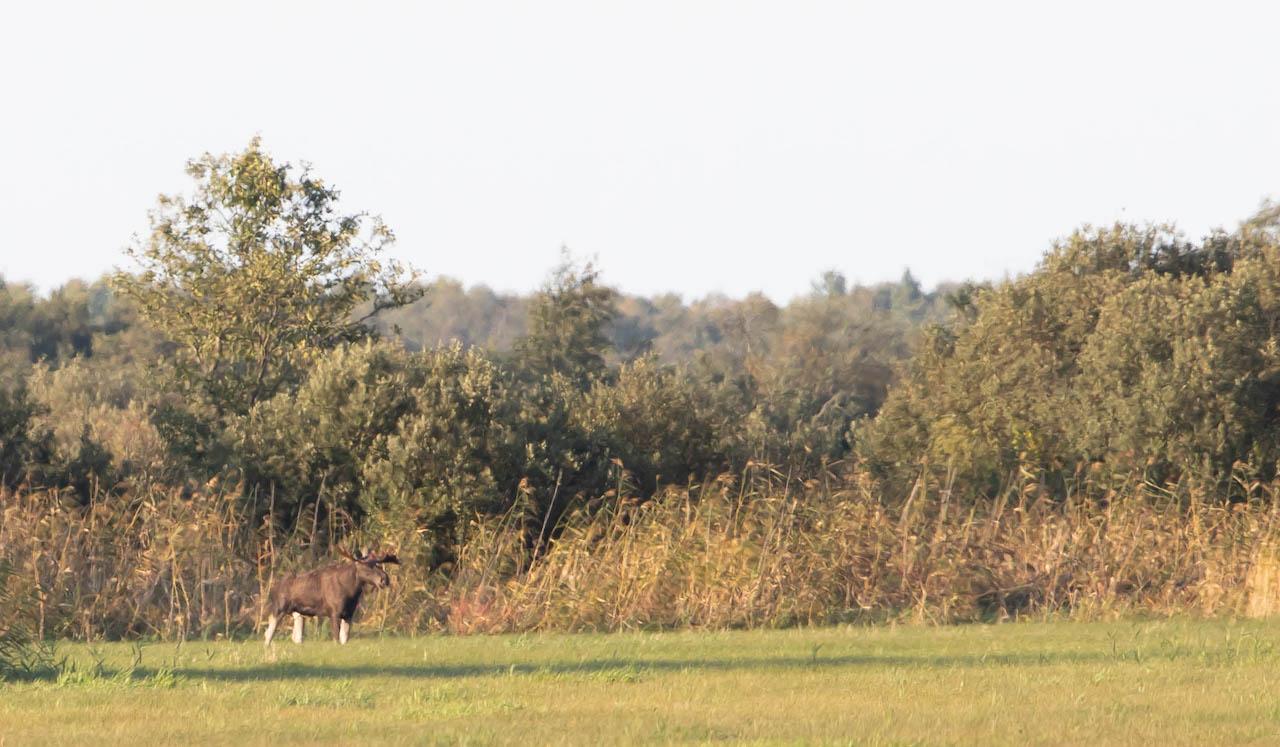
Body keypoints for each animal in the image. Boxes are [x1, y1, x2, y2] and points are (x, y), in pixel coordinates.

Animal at [262, 544, 396, 644]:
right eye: (366, 566)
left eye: (378, 564)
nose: (385, 579)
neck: (350, 593)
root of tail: (272, 590)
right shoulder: (334, 612)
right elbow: (336, 639)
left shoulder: (349, 614)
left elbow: (344, 640)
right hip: (279, 608)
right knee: (269, 633)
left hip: (297, 613)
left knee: (295, 637)